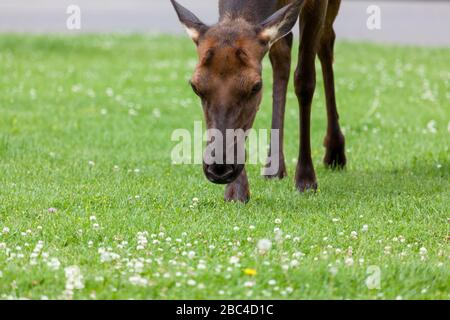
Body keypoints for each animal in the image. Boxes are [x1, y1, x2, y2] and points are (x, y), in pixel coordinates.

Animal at [171, 0, 346, 202]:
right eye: (195, 86)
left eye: (256, 86)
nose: (219, 168)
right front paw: (237, 191)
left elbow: (305, 80)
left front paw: (306, 180)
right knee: (282, 51)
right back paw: (274, 166)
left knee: (326, 40)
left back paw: (335, 150)